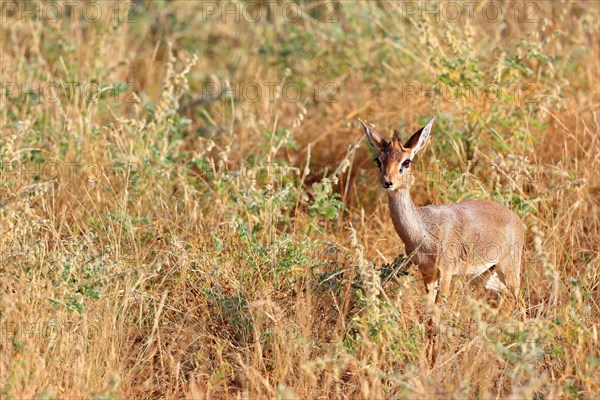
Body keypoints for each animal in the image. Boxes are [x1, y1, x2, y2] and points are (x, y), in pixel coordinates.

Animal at [360, 117, 524, 304]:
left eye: (406, 161)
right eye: (378, 160)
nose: (388, 182)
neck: (423, 231)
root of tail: (516, 218)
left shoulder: (446, 272)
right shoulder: (428, 274)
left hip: (509, 269)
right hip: (482, 275)